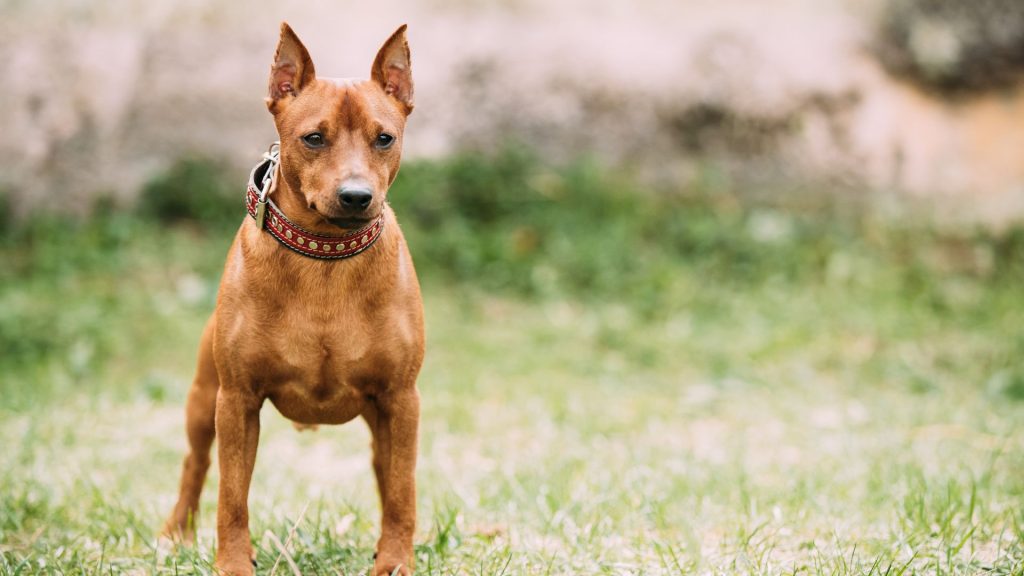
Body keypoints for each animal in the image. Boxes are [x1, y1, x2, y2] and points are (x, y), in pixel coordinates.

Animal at [162, 23, 423, 573]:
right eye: (314, 138)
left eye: (384, 138)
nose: (356, 196)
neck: (324, 260)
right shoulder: (236, 401)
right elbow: (232, 497)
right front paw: (233, 562)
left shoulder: (401, 399)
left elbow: (401, 492)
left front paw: (395, 559)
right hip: (202, 400)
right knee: (196, 464)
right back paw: (176, 532)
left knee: (386, 473)